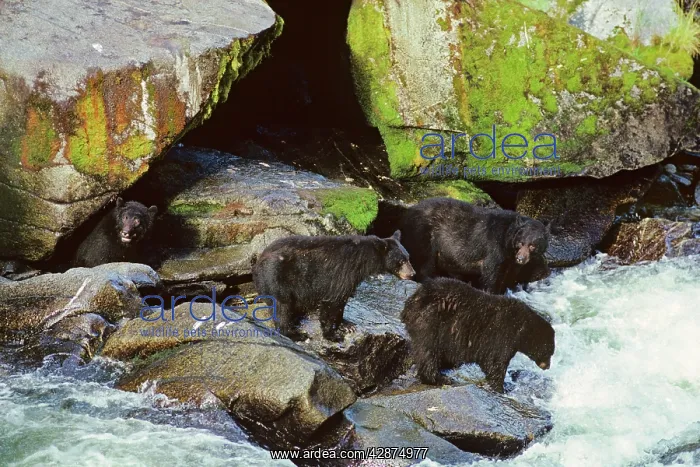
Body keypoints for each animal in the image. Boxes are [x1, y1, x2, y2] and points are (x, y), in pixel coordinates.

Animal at [252, 230, 416, 342]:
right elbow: (333, 301)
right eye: (401, 261)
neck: (362, 261)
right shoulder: (342, 274)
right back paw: (294, 333)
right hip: (276, 277)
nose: (412, 274)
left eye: (409, 257)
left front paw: (347, 324)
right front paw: (333, 335)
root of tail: (258, 262)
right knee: (282, 306)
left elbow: (342, 302)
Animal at [398, 197, 550, 294]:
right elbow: (491, 273)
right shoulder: (494, 248)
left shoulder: (510, 260)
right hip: (423, 234)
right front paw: (491, 292)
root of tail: (407, 213)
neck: (508, 238)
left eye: (532, 246)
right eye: (520, 243)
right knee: (426, 262)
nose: (521, 259)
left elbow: (508, 275)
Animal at [400, 277, 555, 393]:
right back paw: (439, 378)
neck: (522, 329)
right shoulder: (503, 334)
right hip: (431, 323)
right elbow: (495, 361)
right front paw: (500, 387)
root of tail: (411, 302)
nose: (547, 366)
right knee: (428, 352)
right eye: (550, 351)